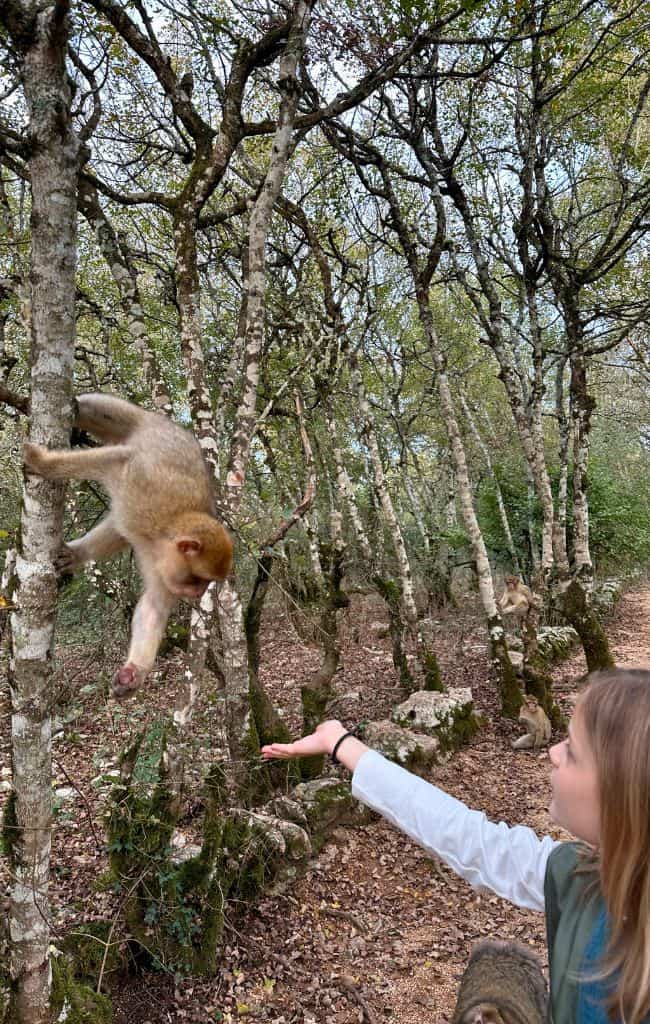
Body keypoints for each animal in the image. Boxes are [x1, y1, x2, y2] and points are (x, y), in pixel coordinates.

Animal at [23, 393, 233, 698]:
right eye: (198, 579)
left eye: (205, 583)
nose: (197, 593)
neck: (160, 543)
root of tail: (169, 425)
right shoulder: (141, 493)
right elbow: (116, 462)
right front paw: (42, 463)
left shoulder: (162, 569)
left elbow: (153, 607)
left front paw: (133, 674)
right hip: (139, 421)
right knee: (95, 408)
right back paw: (75, 408)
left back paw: (76, 554)